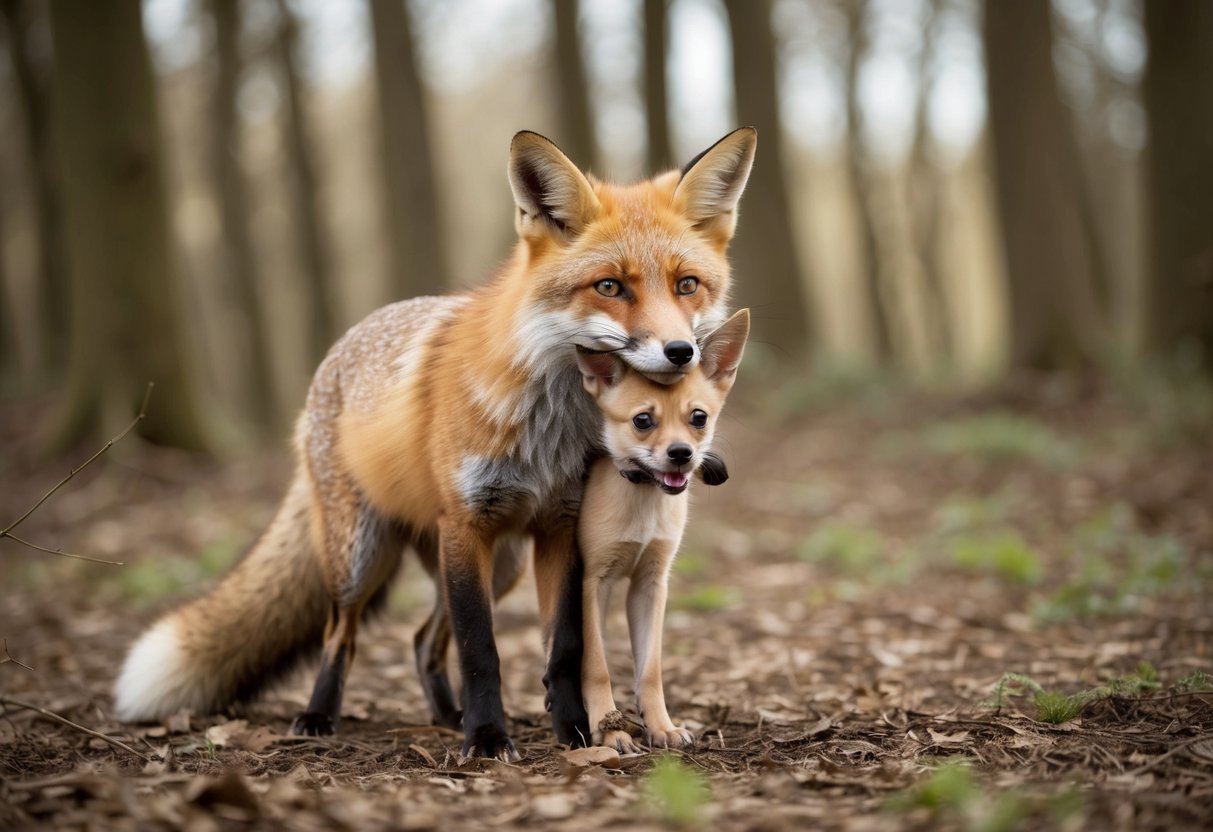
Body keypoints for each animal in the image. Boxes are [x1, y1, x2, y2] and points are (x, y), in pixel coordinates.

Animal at [575, 308, 749, 753]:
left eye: (698, 417)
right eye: (642, 420)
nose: (681, 454)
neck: (643, 506)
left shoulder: (650, 586)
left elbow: (649, 670)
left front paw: (661, 727)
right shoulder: (592, 583)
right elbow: (597, 665)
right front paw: (610, 729)